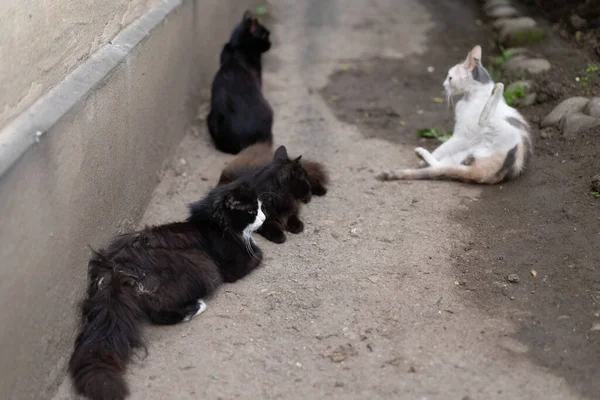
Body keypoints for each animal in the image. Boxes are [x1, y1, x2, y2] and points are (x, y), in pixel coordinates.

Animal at [380, 45, 536, 184]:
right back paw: (421, 154)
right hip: (461, 156)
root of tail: (488, 175)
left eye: (450, 78)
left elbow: (442, 147)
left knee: (484, 119)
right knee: (441, 166)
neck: (472, 96)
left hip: (503, 131)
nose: (443, 84)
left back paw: (498, 88)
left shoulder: (461, 136)